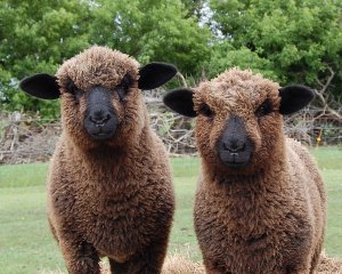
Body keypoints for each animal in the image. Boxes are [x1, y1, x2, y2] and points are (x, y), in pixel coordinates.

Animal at [19, 46, 176, 272]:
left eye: (125, 83)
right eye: (72, 88)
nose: (99, 118)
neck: (111, 200)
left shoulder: (151, 246)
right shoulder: (75, 246)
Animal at [163, 68, 326, 274]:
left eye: (264, 108)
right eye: (207, 110)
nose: (234, 146)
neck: (247, 226)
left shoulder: (295, 263)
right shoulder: (216, 262)